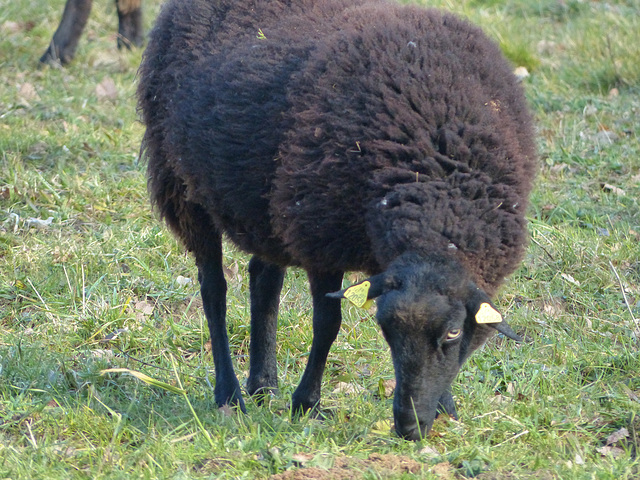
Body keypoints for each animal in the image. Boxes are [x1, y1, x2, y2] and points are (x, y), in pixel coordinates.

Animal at [138, 0, 536, 440]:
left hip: (268, 206)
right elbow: (327, 324)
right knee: (214, 292)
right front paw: (306, 403)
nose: (408, 426)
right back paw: (230, 394)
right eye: (385, 329)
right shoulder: (321, 239)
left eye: (452, 331)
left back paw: (263, 385)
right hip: (183, 186)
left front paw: (446, 406)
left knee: (263, 280)